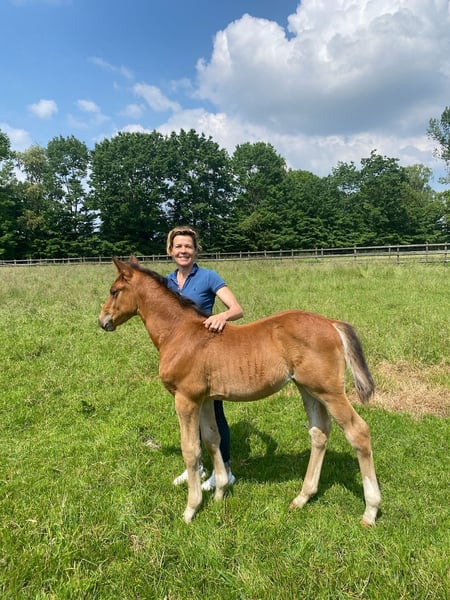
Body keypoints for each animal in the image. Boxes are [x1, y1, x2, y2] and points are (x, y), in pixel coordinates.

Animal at [98, 257, 381, 525]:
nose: (102, 321)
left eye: (114, 291)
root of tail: (332, 323)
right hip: (308, 389)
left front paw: (191, 509)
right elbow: (212, 439)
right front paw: (220, 492)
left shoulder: (186, 399)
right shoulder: (206, 399)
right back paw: (302, 497)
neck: (180, 333)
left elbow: (191, 450)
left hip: (329, 391)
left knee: (358, 431)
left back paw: (370, 511)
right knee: (319, 432)